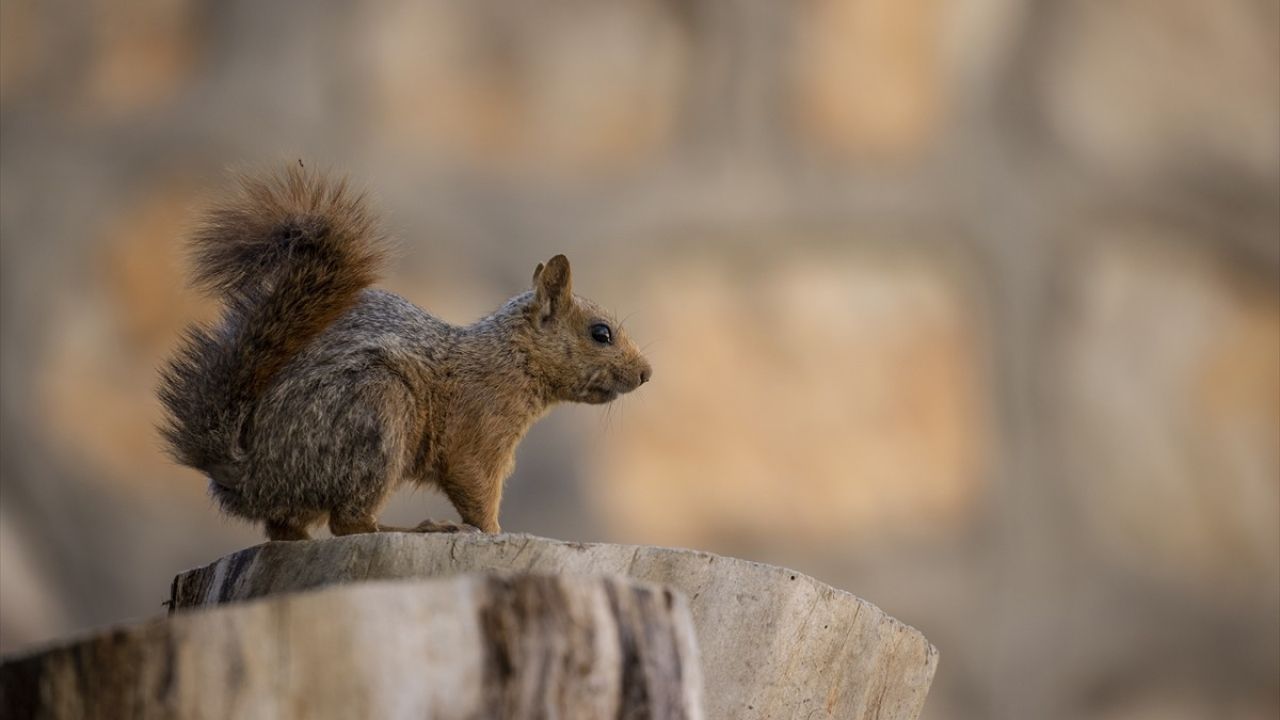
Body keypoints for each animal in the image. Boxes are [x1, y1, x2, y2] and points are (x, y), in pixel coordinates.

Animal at [161, 166, 655, 538]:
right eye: (601, 333)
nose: (646, 373)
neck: (511, 358)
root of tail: (247, 471)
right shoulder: (477, 432)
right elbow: (475, 488)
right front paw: (495, 533)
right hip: (377, 413)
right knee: (348, 524)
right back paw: (416, 528)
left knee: (286, 532)